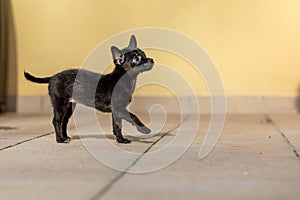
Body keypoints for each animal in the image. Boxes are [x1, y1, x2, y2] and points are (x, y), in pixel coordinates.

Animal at [24, 34, 154, 144]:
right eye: (136, 59)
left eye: (144, 54)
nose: (151, 60)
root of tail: (52, 77)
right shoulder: (118, 109)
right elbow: (133, 116)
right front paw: (142, 130)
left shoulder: (116, 111)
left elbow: (117, 125)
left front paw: (119, 139)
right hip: (60, 104)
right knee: (57, 120)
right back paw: (60, 139)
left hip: (70, 106)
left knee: (64, 121)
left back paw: (65, 137)